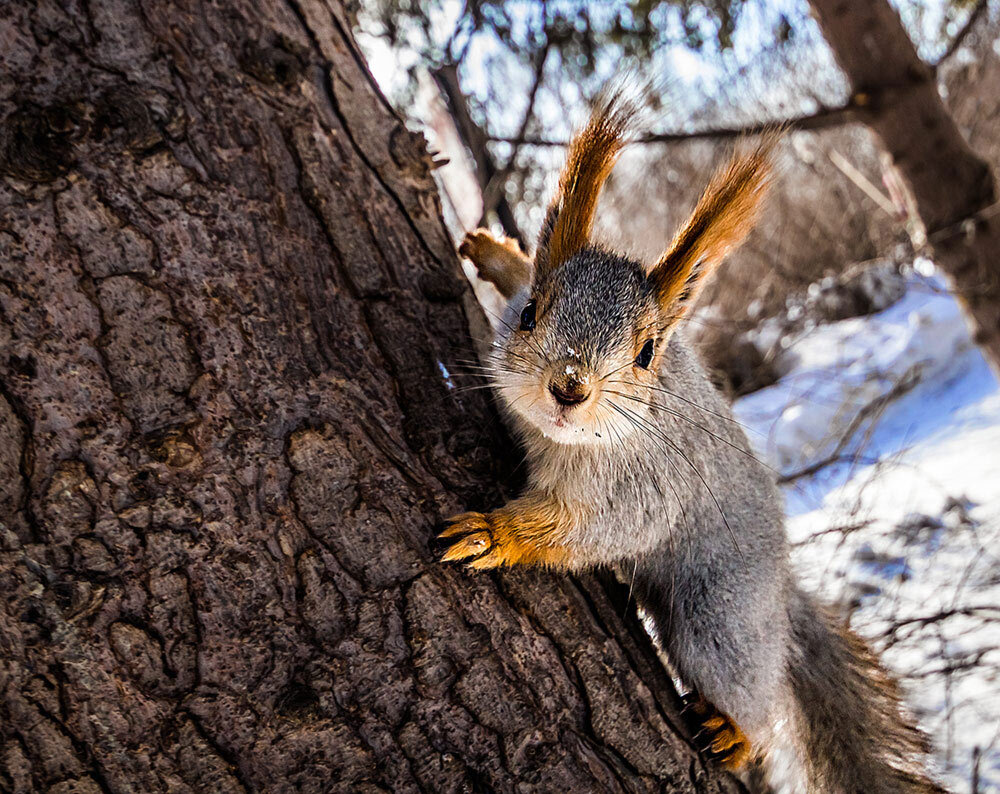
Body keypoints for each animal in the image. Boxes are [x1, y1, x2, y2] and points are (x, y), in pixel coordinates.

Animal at [440, 89, 944, 788]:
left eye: (647, 352)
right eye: (532, 312)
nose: (569, 388)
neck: (562, 440)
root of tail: (781, 596)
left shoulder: (642, 489)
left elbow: (584, 528)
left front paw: (497, 531)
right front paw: (492, 251)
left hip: (721, 621)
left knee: (745, 688)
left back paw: (735, 732)